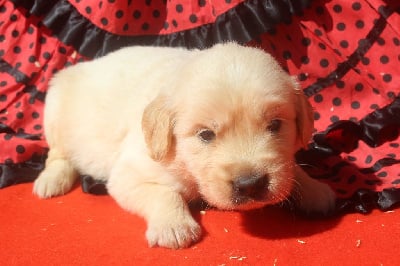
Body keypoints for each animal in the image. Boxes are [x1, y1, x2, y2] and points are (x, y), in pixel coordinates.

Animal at [33, 42, 334, 249]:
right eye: (206, 135)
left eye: (275, 125)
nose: (250, 184)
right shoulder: (129, 174)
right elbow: (164, 193)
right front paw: (174, 227)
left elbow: (291, 168)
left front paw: (316, 190)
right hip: (54, 109)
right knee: (57, 155)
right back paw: (51, 180)